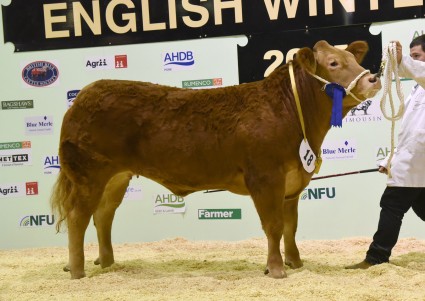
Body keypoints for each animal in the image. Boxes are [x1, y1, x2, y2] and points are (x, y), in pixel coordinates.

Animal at [50, 40, 380, 278]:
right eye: (334, 63)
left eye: (353, 60)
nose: (374, 79)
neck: (290, 110)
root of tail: (83, 96)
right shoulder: (265, 178)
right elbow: (274, 226)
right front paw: (276, 269)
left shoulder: (292, 182)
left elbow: (290, 227)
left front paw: (296, 263)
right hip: (88, 174)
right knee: (78, 217)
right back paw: (78, 271)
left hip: (116, 177)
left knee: (103, 215)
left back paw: (108, 263)